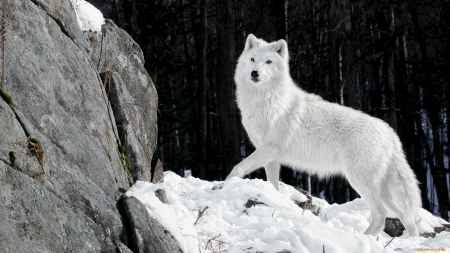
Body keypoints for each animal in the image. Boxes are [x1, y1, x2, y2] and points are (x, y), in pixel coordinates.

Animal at [225, 33, 422, 237]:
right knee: (405, 216)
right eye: (252, 59)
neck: (266, 101)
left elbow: (238, 168)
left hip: (360, 181)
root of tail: (390, 133)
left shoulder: (268, 149)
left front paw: (223, 186)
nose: (254, 73)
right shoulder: (271, 157)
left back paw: (363, 237)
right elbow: (273, 185)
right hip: (382, 190)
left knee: (381, 214)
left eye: (269, 62)